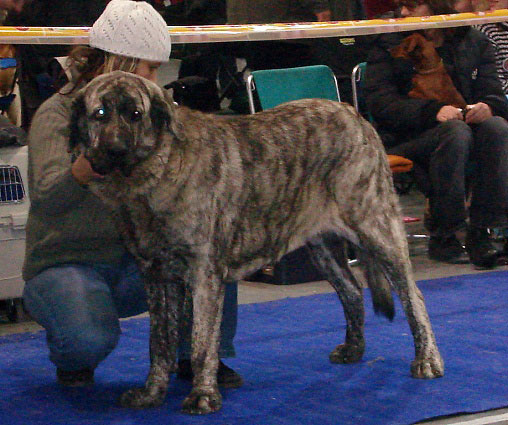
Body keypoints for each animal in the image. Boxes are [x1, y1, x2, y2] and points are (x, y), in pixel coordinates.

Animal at [69, 71, 442, 412]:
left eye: (135, 113)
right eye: (99, 113)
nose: (115, 150)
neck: (158, 167)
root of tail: (355, 114)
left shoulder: (204, 275)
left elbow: (202, 341)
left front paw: (203, 395)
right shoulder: (156, 276)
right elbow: (159, 343)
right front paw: (151, 393)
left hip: (376, 227)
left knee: (413, 295)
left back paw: (427, 359)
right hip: (321, 246)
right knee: (351, 291)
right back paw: (353, 349)